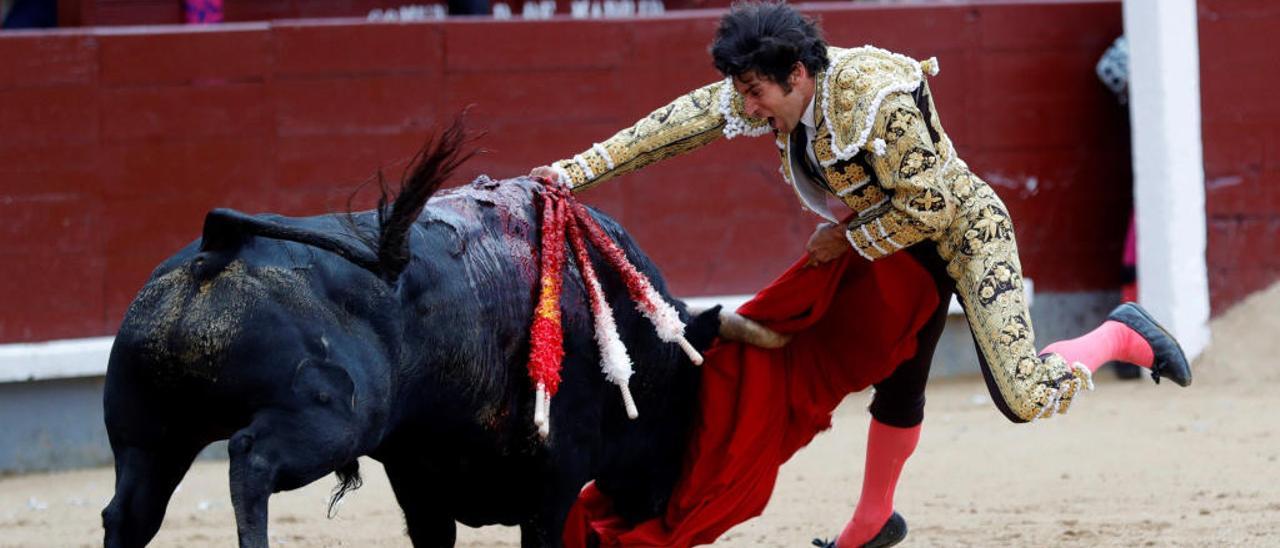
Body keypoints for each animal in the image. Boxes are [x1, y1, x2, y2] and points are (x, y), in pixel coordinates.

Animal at [102, 125, 721, 548]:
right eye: (686, 401)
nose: (661, 507)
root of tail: (220, 245)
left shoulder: (418, 474)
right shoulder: (555, 473)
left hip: (148, 430)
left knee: (129, 512)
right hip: (329, 420)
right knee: (251, 461)